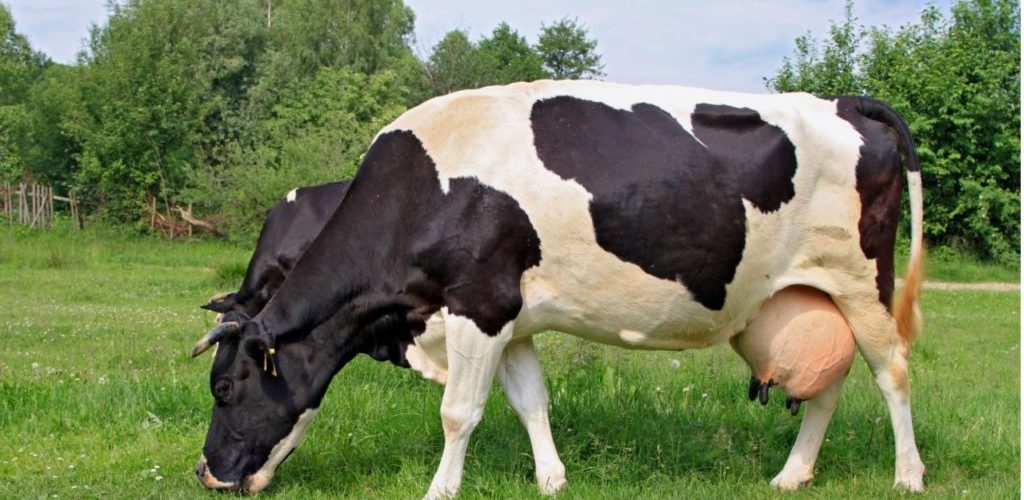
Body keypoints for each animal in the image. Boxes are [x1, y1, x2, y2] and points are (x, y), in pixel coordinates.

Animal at [189, 80, 926, 497]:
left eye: (224, 387)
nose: (206, 473)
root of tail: (843, 101)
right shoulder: (510, 316)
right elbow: (531, 403)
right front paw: (551, 480)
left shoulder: (478, 303)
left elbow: (459, 412)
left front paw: (439, 491)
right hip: (810, 295)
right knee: (827, 382)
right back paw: (792, 474)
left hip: (863, 280)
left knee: (891, 372)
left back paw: (908, 475)